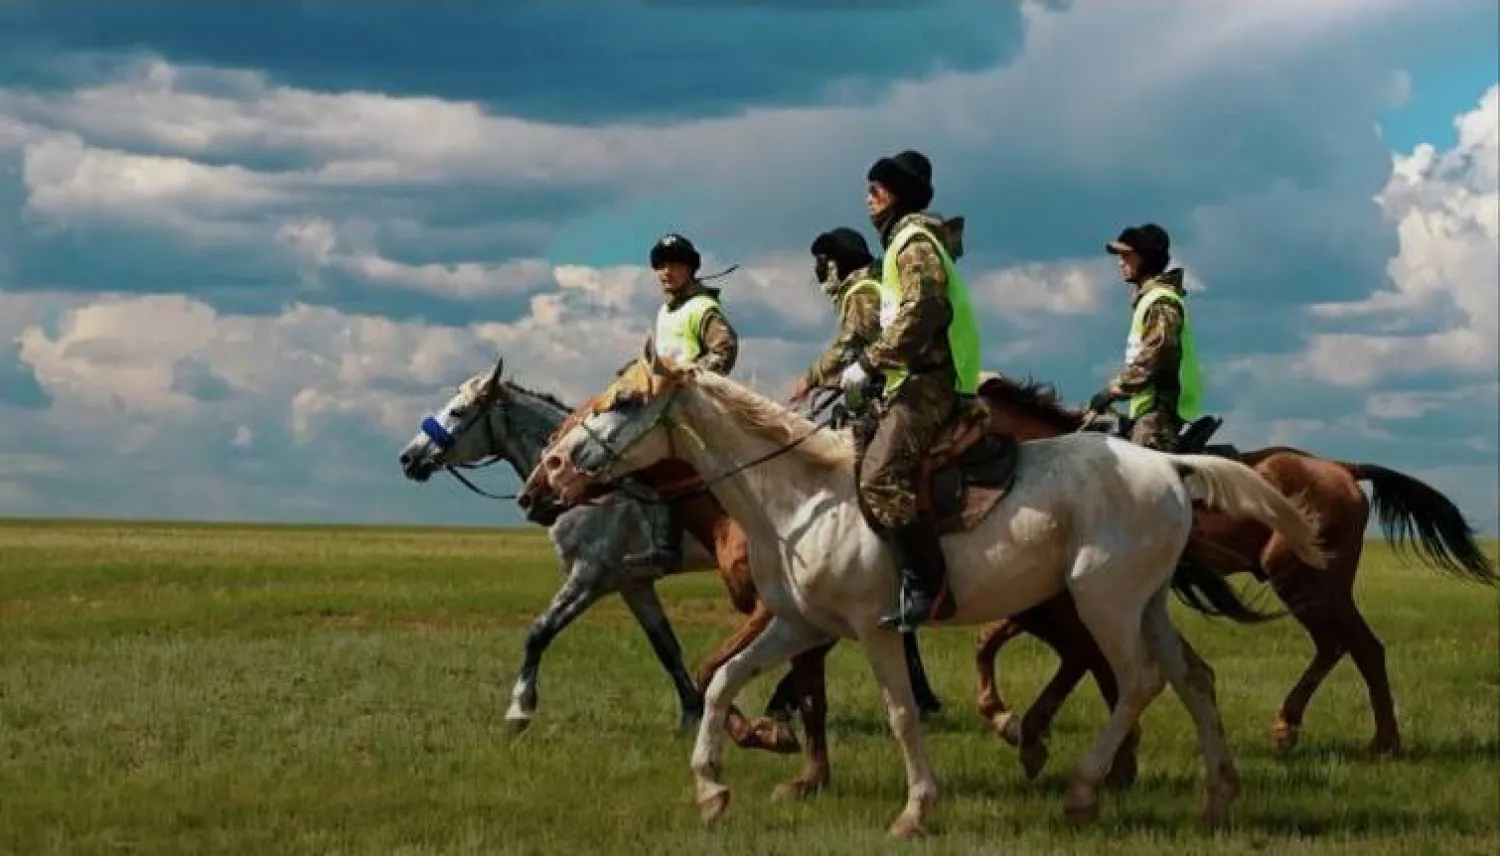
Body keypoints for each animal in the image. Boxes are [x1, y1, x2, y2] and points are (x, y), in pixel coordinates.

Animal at [399, 358, 936, 785]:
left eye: (459, 412)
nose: (408, 458)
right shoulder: (632, 585)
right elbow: (668, 648)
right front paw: (692, 713)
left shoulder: (589, 576)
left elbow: (539, 633)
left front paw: (519, 708)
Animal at [528, 353, 1326, 839]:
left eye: (627, 401)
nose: (553, 470)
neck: (803, 500)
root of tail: (1167, 466)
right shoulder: (799, 624)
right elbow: (723, 681)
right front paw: (712, 792)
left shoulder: (875, 629)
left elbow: (901, 713)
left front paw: (915, 810)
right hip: (1146, 603)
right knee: (1193, 678)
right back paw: (1218, 795)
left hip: (1106, 603)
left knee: (1139, 681)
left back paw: (1082, 788)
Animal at [966, 371, 1494, 779]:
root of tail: (1342, 468)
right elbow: (993, 639)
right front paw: (1008, 719)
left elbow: (1026, 645)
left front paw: (1011, 722)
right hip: (1314, 585)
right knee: (1340, 645)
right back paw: (1295, 730)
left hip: (1304, 580)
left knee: (1359, 647)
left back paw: (1377, 742)